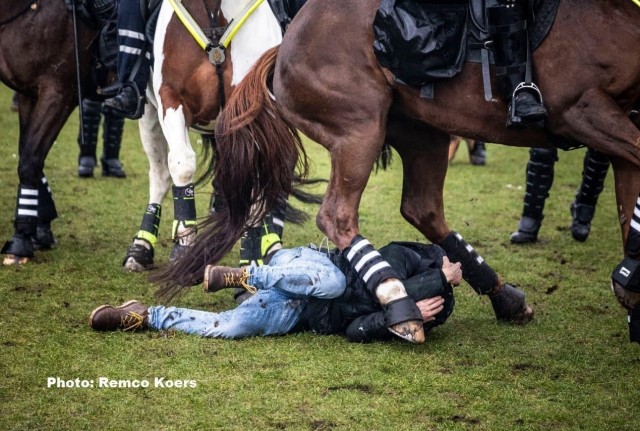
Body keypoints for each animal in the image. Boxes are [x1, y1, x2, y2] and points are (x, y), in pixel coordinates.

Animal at [0, 0, 104, 264]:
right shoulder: (28, 93)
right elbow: (28, 151)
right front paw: (41, 226)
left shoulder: (58, 95)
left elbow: (30, 159)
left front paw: (21, 239)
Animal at [159, 0, 640, 344]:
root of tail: (286, 42)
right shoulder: (584, 109)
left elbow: (628, 205)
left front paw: (631, 280)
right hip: (360, 129)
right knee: (339, 216)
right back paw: (399, 301)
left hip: (424, 131)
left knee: (421, 209)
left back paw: (504, 298)